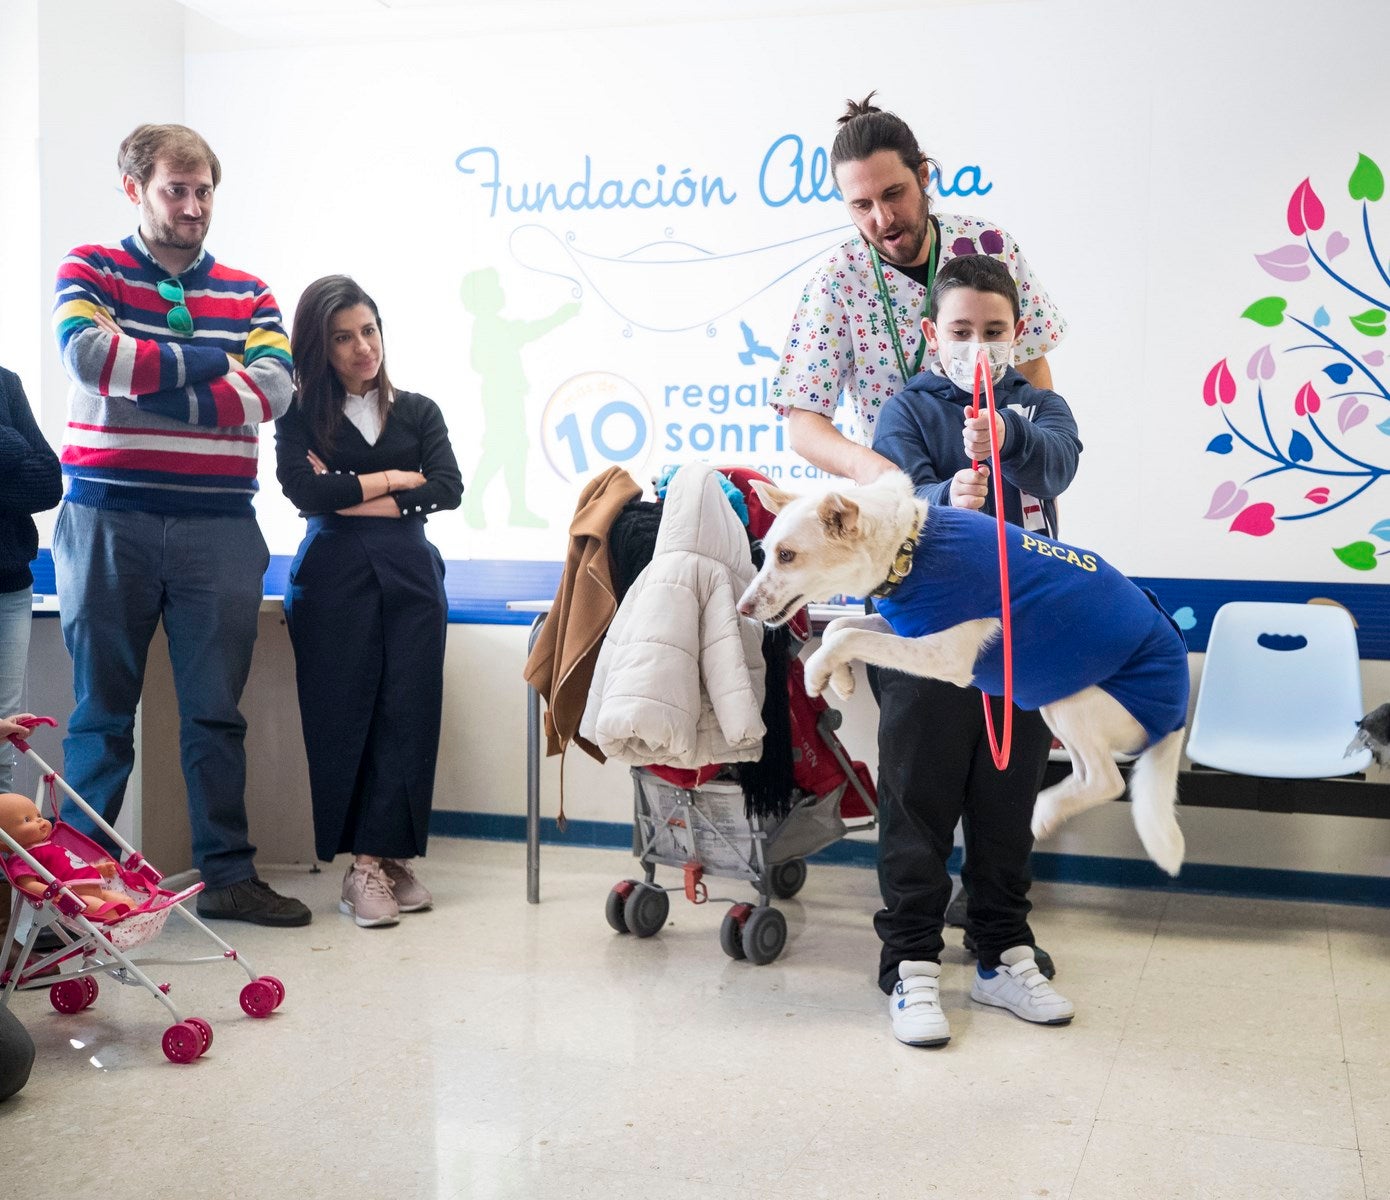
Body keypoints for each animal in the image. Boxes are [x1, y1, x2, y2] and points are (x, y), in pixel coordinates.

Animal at [745, 469, 1189, 873]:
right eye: (764, 553)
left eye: (787, 555)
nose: (742, 608)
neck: (910, 550)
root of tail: (1177, 717)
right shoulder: (909, 628)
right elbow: (840, 626)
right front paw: (841, 679)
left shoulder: (943, 656)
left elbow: (844, 637)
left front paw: (816, 674)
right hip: (1054, 702)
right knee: (1088, 774)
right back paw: (1051, 810)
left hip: (1076, 702)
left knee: (1109, 780)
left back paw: (1046, 811)